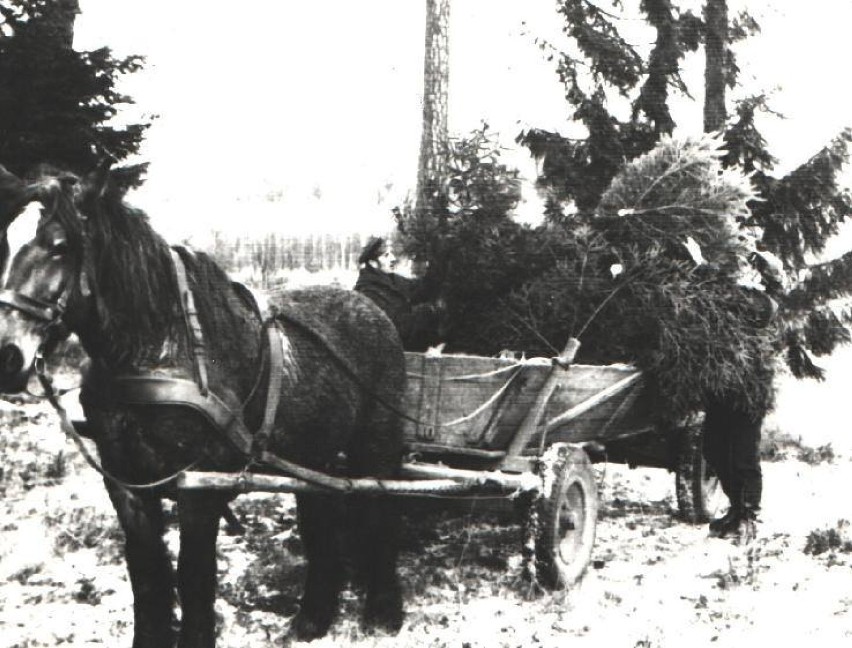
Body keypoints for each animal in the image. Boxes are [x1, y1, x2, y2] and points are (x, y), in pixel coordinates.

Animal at [0, 165, 410, 644]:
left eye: (60, 246)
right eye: (4, 240)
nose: (6, 356)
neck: (157, 347)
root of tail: (373, 309)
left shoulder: (199, 486)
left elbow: (194, 575)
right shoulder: (126, 482)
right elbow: (147, 573)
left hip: (376, 446)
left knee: (380, 513)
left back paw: (384, 611)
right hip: (314, 457)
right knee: (320, 521)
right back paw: (312, 619)